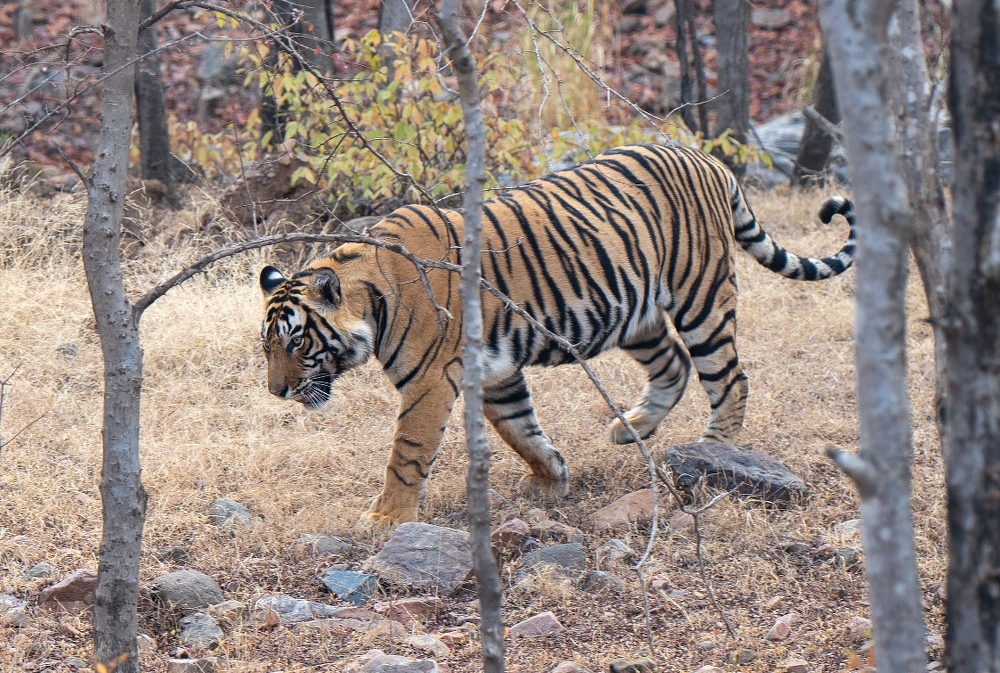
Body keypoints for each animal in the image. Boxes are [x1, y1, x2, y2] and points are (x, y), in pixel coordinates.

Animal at [258, 143, 852, 532]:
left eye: (297, 343)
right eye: (267, 347)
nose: (276, 392)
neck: (374, 298)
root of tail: (707, 158)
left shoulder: (429, 383)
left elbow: (407, 453)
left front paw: (385, 518)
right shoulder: (494, 372)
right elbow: (520, 430)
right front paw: (552, 480)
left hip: (700, 298)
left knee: (730, 379)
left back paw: (710, 454)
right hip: (633, 314)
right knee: (674, 366)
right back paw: (631, 426)